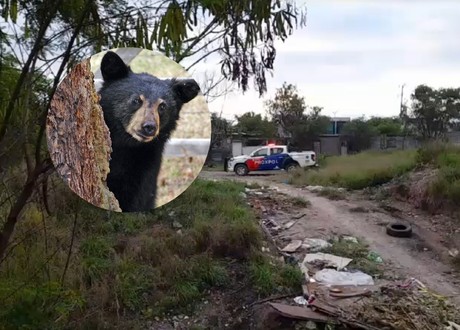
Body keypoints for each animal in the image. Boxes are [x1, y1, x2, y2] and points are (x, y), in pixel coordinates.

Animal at [98, 51, 200, 211]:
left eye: (162, 106)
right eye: (136, 100)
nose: (149, 127)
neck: (126, 145)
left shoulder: (146, 166)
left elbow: (138, 197)